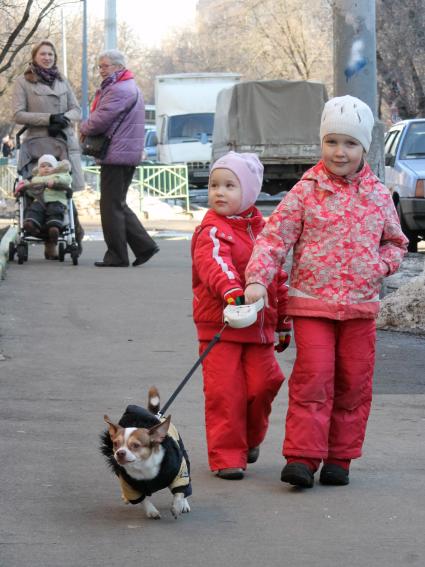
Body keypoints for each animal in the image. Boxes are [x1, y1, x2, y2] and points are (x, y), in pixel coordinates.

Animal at [101, 388, 190, 520]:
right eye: (115, 444)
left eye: (136, 445)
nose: (119, 453)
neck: (143, 466)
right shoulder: (130, 487)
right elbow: (143, 500)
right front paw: (151, 511)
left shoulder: (179, 473)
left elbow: (179, 492)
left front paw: (177, 506)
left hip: (184, 459)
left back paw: (184, 504)